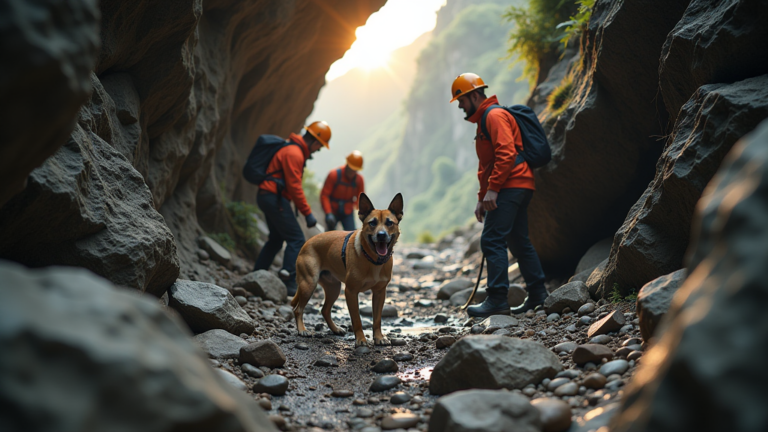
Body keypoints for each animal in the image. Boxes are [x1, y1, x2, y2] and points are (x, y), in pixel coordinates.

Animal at [292, 194, 404, 346]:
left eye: (389, 223)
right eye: (372, 223)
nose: (381, 235)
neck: (373, 259)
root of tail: (307, 242)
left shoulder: (380, 293)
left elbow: (377, 319)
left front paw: (379, 337)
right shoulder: (351, 292)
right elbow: (356, 320)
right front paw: (361, 339)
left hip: (333, 288)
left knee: (325, 310)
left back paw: (335, 329)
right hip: (308, 285)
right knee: (298, 309)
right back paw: (302, 329)